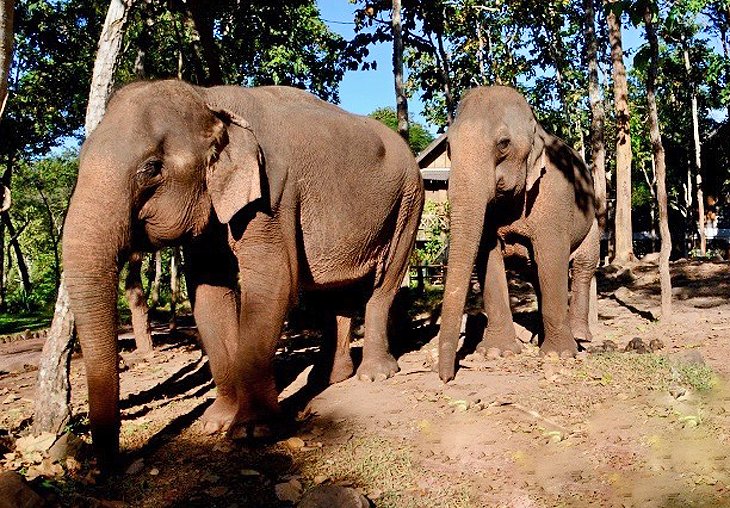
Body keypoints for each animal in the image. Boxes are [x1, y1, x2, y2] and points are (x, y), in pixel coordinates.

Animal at [62, 79, 425, 466]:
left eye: (151, 168)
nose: (109, 467)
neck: (209, 99)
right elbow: (208, 294)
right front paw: (216, 423)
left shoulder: (272, 194)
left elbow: (272, 283)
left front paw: (253, 431)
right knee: (331, 293)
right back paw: (327, 377)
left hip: (408, 201)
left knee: (384, 285)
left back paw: (373, 375)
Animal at [438, 86, 600, 382]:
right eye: (449, 148)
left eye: (503, 144)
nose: (446, 378)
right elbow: (487, 256)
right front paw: (496, 352)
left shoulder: (554, 193)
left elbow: (552, 257)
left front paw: (559, 355)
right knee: (536, 274)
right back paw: (540, 336)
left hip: (591, 221)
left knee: (583, 267)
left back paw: (580, 337)